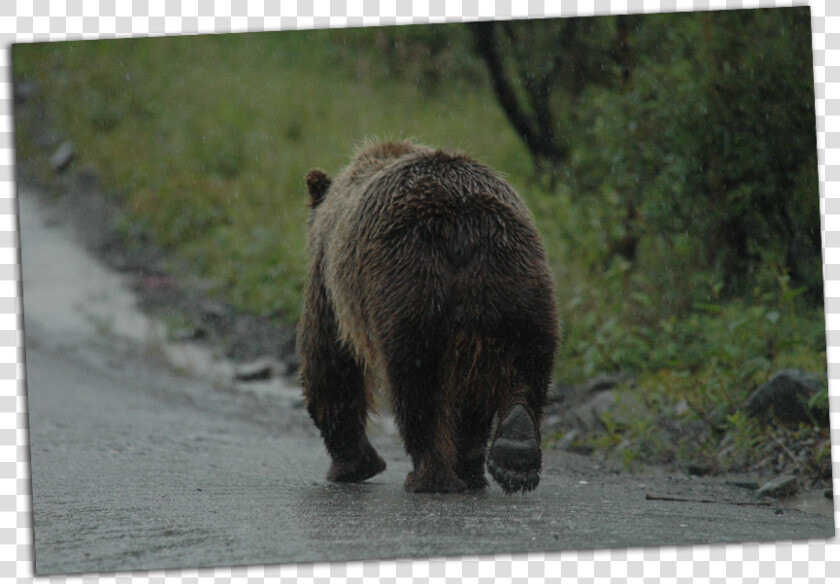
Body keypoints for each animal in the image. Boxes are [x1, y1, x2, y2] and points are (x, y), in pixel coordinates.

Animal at [296, 141, 556, 492]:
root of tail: (463, 223)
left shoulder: (329, 283)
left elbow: (329, 362)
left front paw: (352, 465)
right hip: (517, 278)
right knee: (524, 360)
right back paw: (513, 453)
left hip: (409, 281)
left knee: (418, 381)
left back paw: (428, 475)